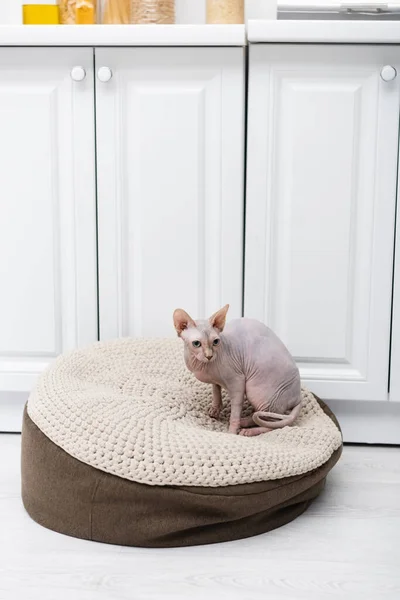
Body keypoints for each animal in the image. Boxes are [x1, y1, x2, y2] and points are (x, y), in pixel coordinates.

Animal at [173, 304, 302, 436]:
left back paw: (248, 430)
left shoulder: (237, 381)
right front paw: (215, 409)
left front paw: (231, 432)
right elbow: (216, 390)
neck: (202, 365)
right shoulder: (215, 380)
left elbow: (235, 410)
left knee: (275, 424)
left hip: (257, 391)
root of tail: (298, 398)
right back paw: (244, 421)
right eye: (196, 343)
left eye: (215, 342)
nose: (209, 356)